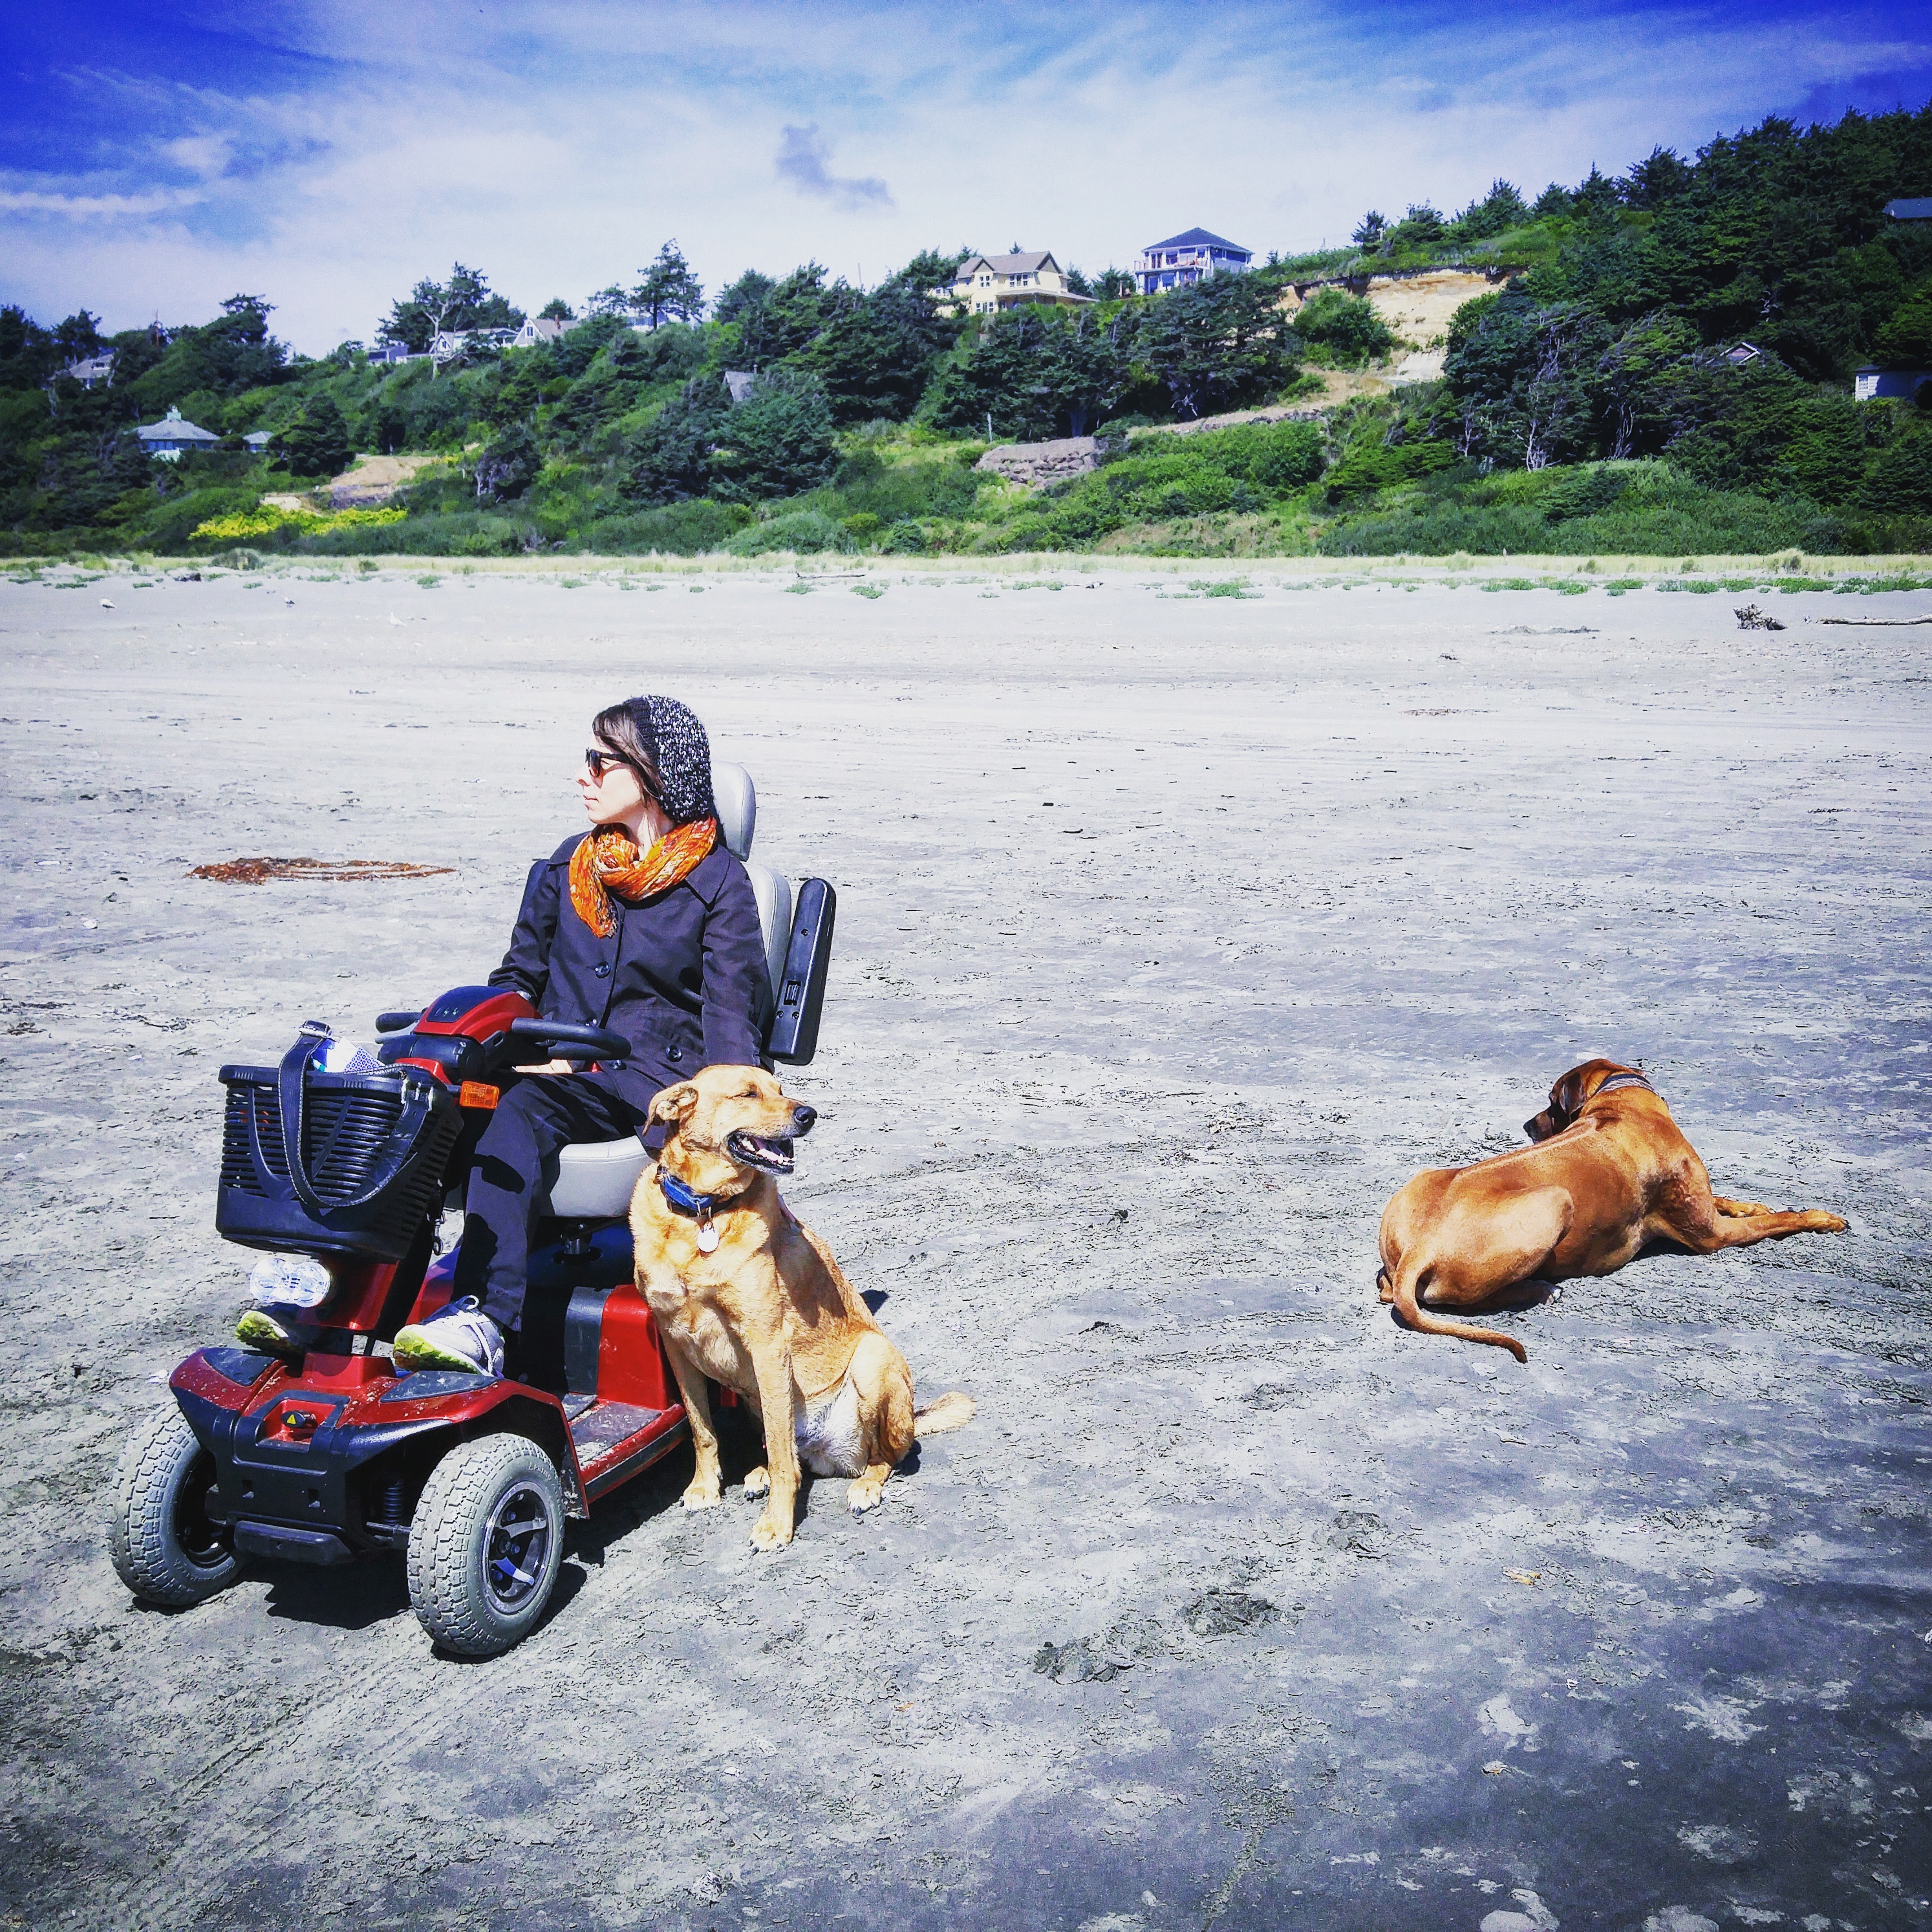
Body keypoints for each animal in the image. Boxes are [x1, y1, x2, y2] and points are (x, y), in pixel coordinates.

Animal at [629, 1064, 973, 1550]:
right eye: (747, 1094)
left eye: (780, 1088)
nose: (810, 1114)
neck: (703, 1214)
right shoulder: (676, 1346)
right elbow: (701, 1429)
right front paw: (705, 1487)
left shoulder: (768, 1345)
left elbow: (780, 1455)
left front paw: (777, 1525)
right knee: (790, 1453)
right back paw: (758, 1474)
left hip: (872, 1362)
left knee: (885, 1455)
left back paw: (865, 1485)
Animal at [1376, 1058, 1849, 1361]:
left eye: (1551, 1104)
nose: (1528, 1126)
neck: (1623, 1101)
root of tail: (1421, 1248)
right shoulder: (1711, 1236)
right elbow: (1779, 1221)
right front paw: (1819, 1218)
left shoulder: (1702, 1205)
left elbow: (1736, 1202)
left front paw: (1753, 1203)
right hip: (1555, 1201)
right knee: (1465, 1302)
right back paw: (1542, 1290)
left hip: (1417, 1186)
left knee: (1388, 1285)